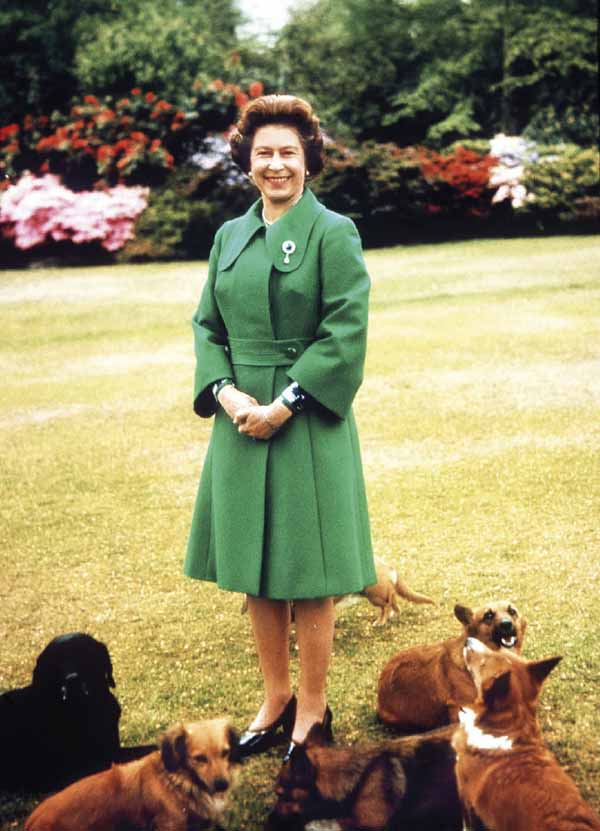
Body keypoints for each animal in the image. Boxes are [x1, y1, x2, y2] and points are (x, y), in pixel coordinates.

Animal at [25, 720, 241, 828]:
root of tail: (31, 821)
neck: (178, 781)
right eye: (199, 758)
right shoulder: (171, 824)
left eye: (225, 752)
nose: (222, 784)